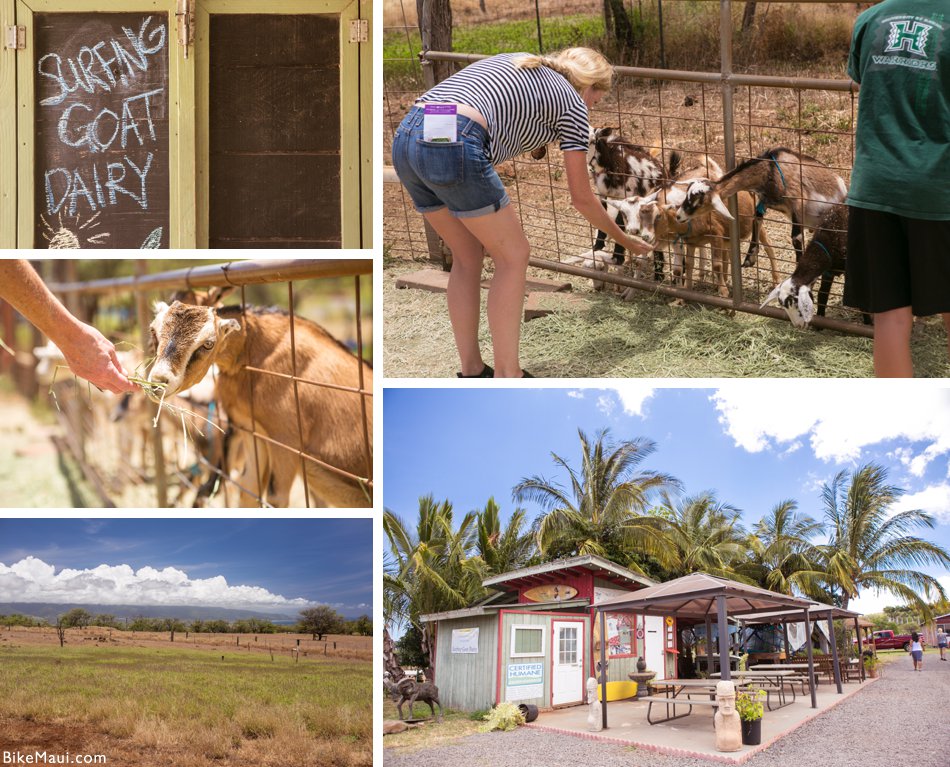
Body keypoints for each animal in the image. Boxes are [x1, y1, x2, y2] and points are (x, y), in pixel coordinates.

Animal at [148, 302, 372, 510]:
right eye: (153, 330)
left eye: (208, 344)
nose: (158, 383)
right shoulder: (251, 430)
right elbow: (249, 488)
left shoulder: (285, 441)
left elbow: (275, 499)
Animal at [672, 147, 852, 264]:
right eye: (687, 195)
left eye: (700, 202)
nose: (679, 216)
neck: (769, 169)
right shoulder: (765, 201)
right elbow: (756, 219)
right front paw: (750, 257)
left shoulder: (797, 203)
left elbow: (796, 238)